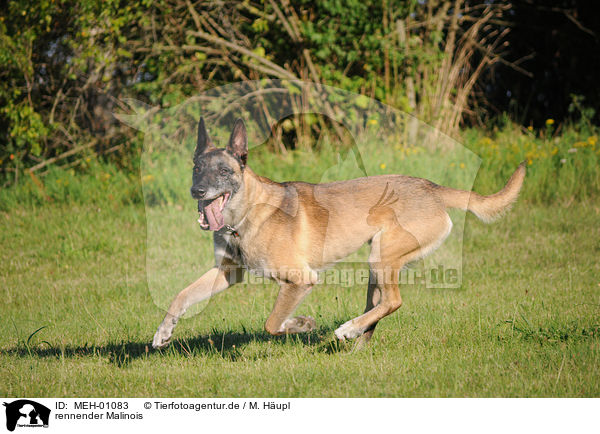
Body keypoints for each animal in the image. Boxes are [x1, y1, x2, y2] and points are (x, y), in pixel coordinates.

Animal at [151, 118, 524, 350]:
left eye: (223, 171)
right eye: (197, 167)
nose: (197, 191)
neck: (245, 215)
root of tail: (433, 189)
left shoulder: (300, 280)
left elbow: (273, 322)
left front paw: (301, 324)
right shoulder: (227, 273)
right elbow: (181, 296)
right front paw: (163, 334)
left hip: (382, 255)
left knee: (393, 301)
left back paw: (348, 328)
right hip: (377, 262)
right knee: (379, 306)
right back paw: (357, 338)